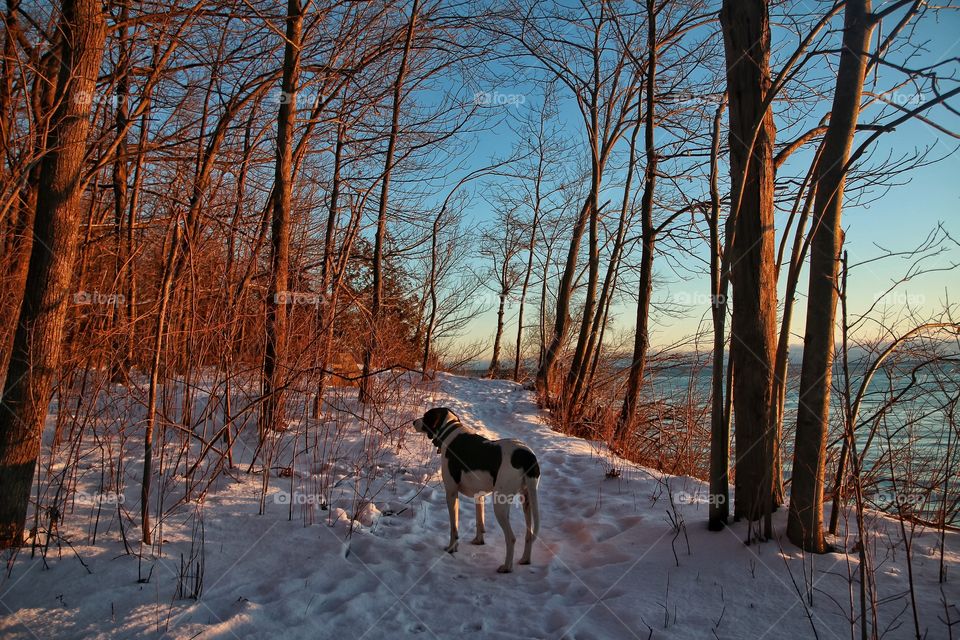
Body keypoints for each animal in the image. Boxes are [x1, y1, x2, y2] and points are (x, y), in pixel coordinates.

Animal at [412, 408, 540, 572]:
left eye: (426, 416)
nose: (413, 422)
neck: (450, 431)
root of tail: (527, 456)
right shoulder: (479, 496)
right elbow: (480, 522)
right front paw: (479, 541)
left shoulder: (451, 493)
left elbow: (454, 527)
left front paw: (452, 548)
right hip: (527, 501)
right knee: (529, 535)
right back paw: (525, 559)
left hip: (500, 506)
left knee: (511, 538)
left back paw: (506, 567)